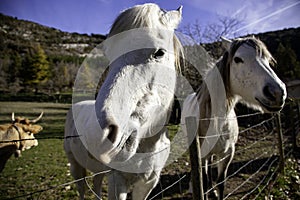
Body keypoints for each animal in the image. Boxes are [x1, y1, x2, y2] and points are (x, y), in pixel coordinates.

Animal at [64, 3, 184, 200]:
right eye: (109, 55)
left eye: (159, 52)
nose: (97, 135)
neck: (148, 146)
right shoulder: (116, 181)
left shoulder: (147, 184)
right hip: (75, 166)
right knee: (81, 189)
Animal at [182, 36, 288, 199]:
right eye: (238, 59)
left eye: (267, 59)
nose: (277, 93)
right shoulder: (203, 155)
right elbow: (203, 182)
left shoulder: (228, 153)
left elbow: (221, 183)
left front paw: (216, 192)